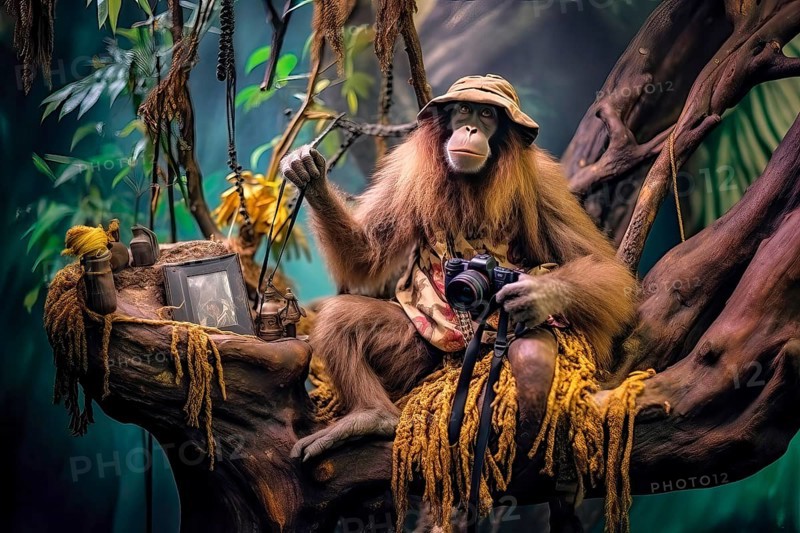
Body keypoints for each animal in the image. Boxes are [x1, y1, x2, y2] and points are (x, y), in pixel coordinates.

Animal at [280, 74, 638, 463]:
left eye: (487, 114)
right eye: (465, 109)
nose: (470, 128)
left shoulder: (544, 182)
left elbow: (602, 266)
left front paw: (536, 294)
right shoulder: (407, 171)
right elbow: (366, 253)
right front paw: (310, 175)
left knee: (532, 360)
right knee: (341, 316)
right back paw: (370, 416)